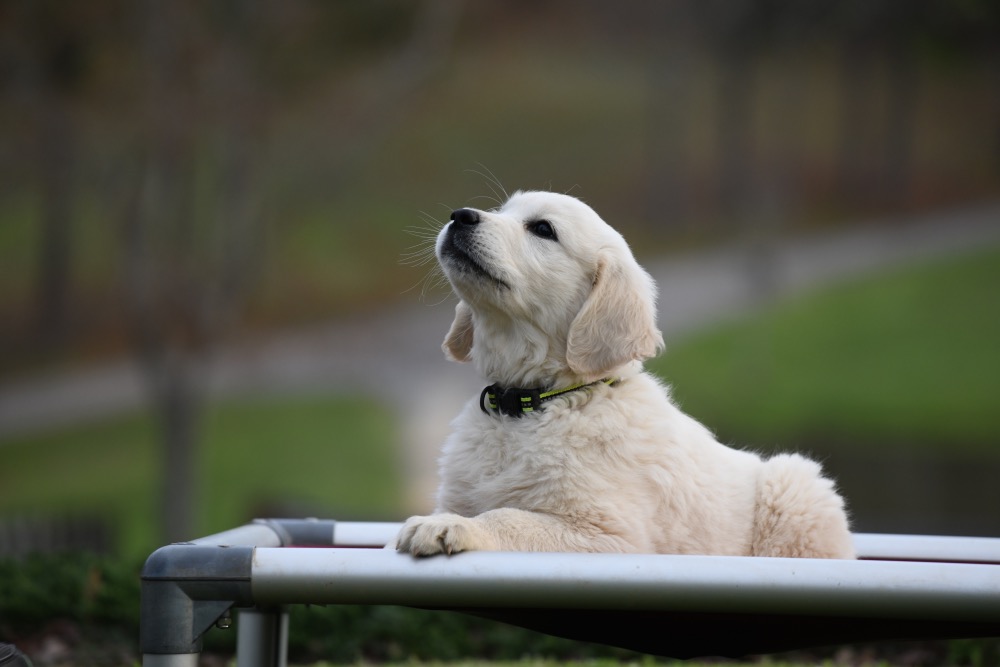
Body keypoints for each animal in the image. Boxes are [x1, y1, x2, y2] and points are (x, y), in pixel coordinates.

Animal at [394, 190, 856, 560]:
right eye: (501, 210)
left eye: (542, 229)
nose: (460, 215)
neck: (530, 405)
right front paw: (448, 520)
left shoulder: (608, 535)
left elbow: (509, 516)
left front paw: (451, 527)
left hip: (796, 487)